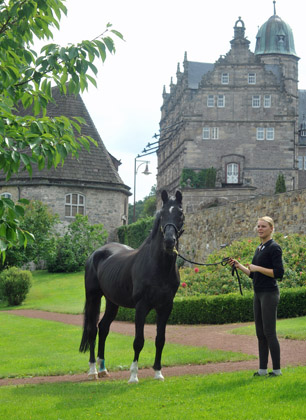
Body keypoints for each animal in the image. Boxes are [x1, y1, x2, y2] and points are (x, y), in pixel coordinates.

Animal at [79, 190, 184, 384]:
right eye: (162, 214)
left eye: (180, 213)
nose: (169, 241)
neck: (158, 266)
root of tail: (96, 253)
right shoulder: (141, 307)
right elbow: (138, 341)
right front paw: (133, 375)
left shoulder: (166, 307)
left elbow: (160, 339)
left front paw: (158, 372)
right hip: (93, 297)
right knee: (92, 329)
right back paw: (93, 371)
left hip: (112, 302)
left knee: (103, 328)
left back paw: (103, 369)